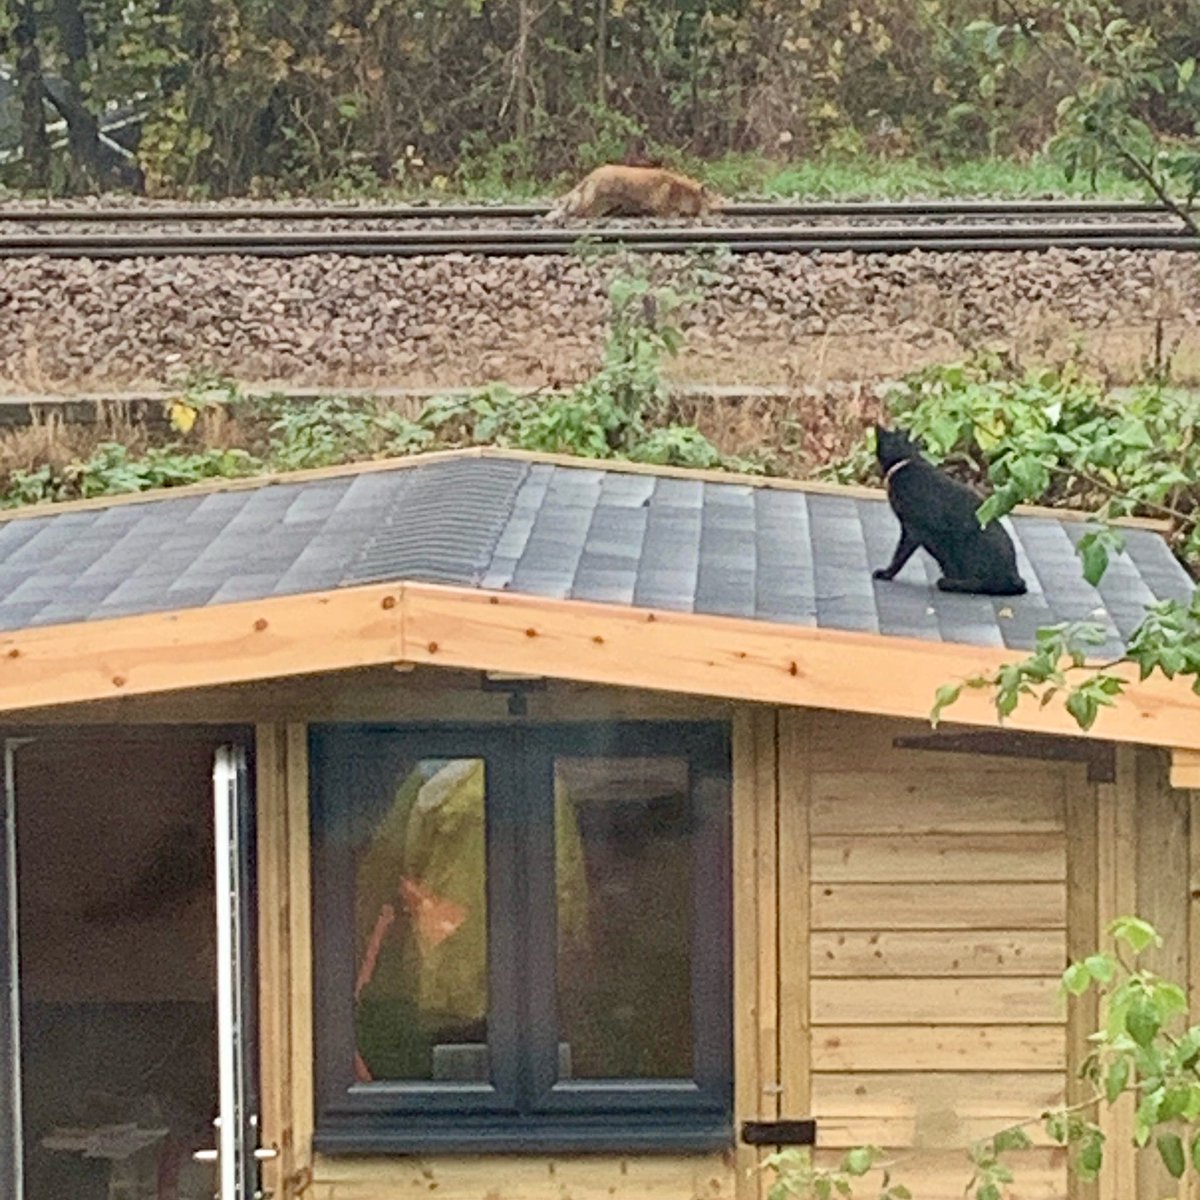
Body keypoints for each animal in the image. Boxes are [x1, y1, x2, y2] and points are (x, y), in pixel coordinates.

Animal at [544, 164, 724, 221]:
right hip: (596, 200)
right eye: (715, 200)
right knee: (580, 210)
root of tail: (590, 175)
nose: (722, 205)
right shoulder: (661, 200)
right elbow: (670, 211)